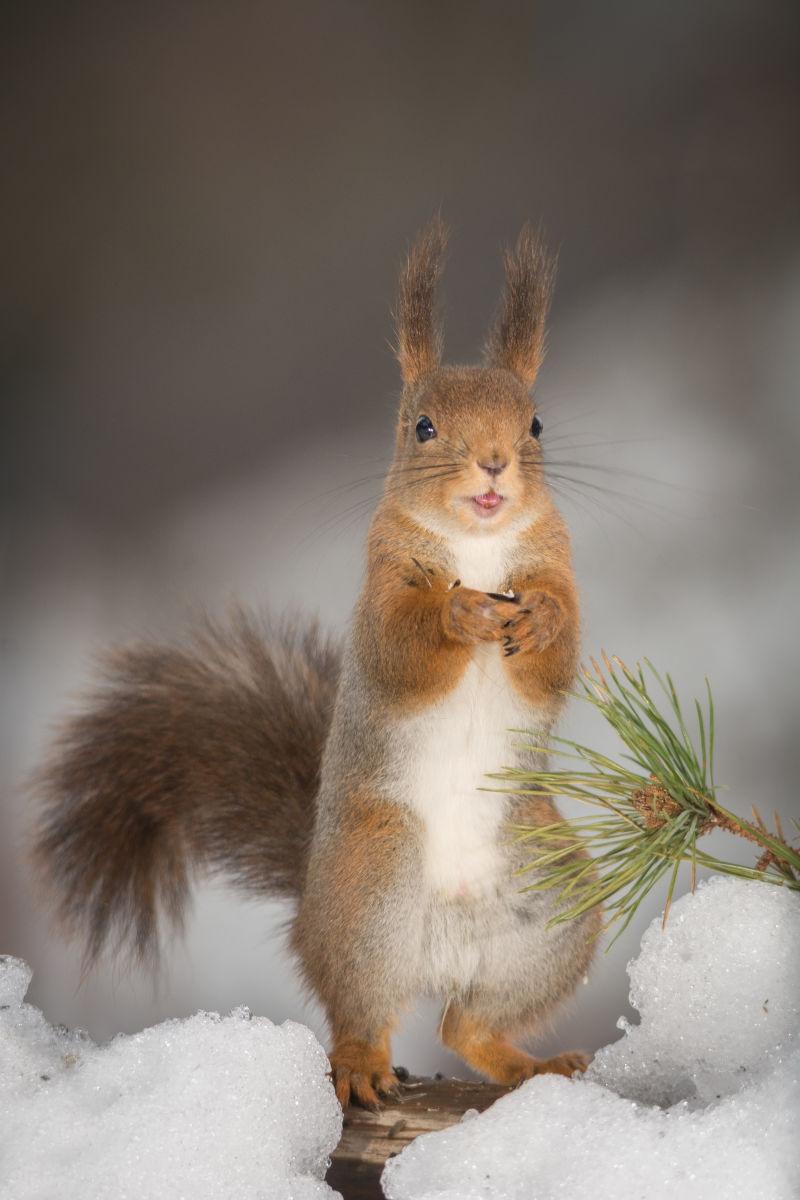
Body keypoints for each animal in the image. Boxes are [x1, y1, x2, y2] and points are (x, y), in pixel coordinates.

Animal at [34, 220, 597, 1108]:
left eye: (536, 424)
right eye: (421, 427)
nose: (495, 463)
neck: (477, 545)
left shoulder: (557, 566)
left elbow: (559, 654)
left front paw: (538, 619)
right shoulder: (379, 591)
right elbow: (402, 650)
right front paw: (456, 614)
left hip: (553, 913)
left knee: (466, 1025)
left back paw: (532, 1064)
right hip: (372, 889)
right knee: (359, 1012)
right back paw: (363, 1067)